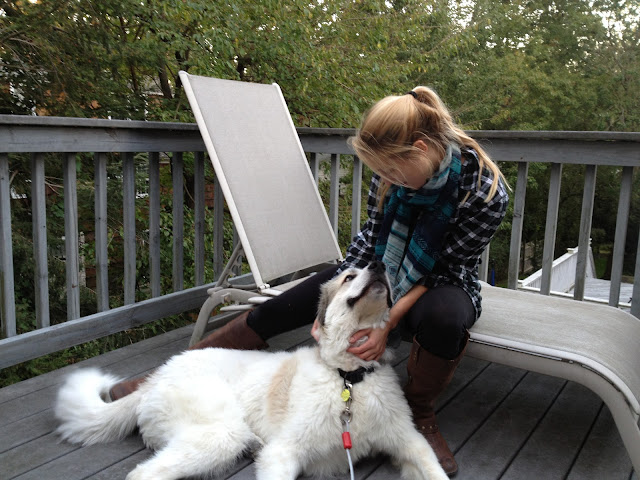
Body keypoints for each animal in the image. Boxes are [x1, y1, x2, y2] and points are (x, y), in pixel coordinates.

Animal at [55, 262, 448, 480]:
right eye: (349, 275)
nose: (380, 265)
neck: (349, 379)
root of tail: (153, 380)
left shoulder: (410, 443)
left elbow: (435, 471)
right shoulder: (284, 452)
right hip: (219, 433)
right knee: (142, 473)